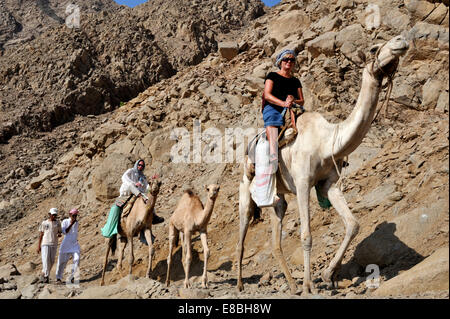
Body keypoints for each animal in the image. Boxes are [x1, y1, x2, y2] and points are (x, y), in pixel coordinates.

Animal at [237, 35, 410, 296]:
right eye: (373, 48)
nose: (401, 41)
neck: (327, 142)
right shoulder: (302, 182)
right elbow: (307, 235)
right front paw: (310, 286)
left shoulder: (329, 183)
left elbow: (353, 224)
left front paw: (329, 276)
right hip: (247, 189)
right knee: (242, 234)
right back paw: (241, 284)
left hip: (278, 197)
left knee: (276, 237)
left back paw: (292, 285)